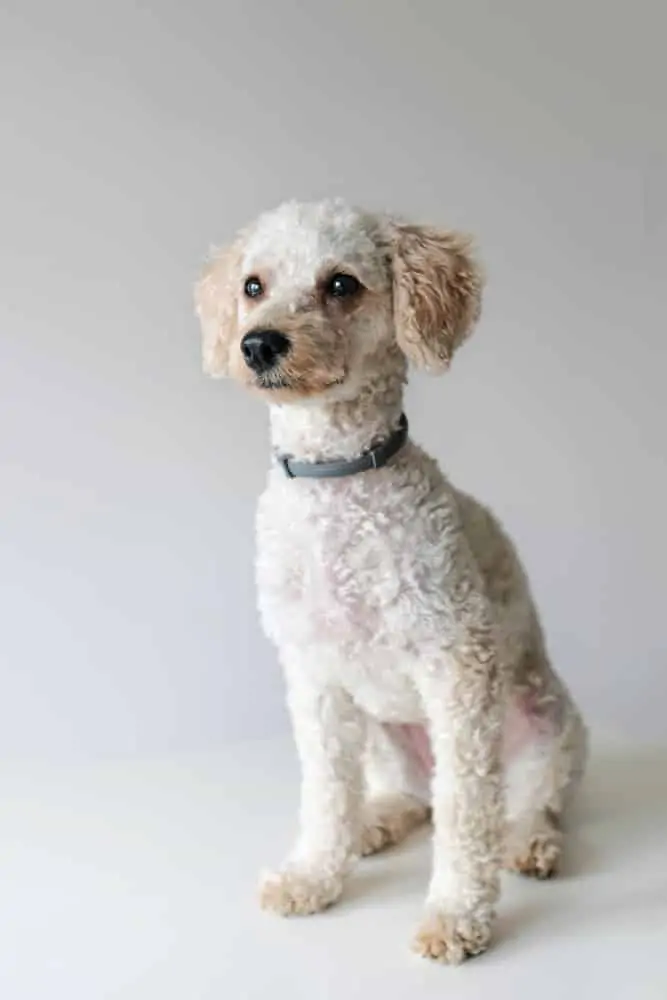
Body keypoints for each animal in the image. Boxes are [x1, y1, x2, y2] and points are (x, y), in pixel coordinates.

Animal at [194, 199, 588, 964]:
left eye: (341, 284)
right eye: (253, 286)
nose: (258, 344)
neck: (337, 479)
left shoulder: (457, 667)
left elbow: (466, 814)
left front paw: (455, 916)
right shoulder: (314, 676)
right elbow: (325, 792)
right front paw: (314, 875)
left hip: (549, 725)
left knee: (522, 802)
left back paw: (528, 842)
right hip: (378, 730)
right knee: (402, 795)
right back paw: (374, 822)